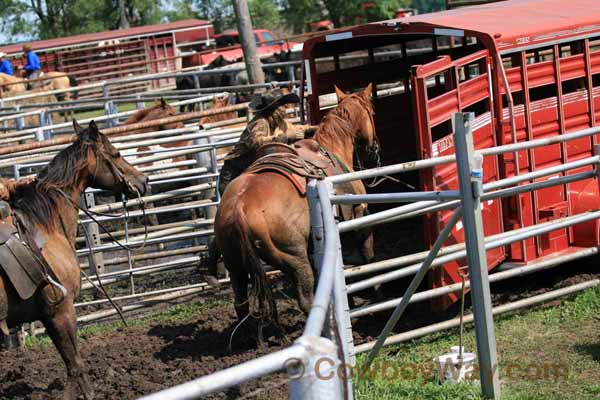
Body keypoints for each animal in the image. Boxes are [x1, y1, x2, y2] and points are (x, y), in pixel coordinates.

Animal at [214, 83, 376, 344]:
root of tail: (239, 208)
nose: (374, 149)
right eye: (372, 111)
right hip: (294, 258)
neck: (333, 146)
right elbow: (365, 257)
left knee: (241, 302)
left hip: (235, 264)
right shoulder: (359, 221)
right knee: (306, 300)